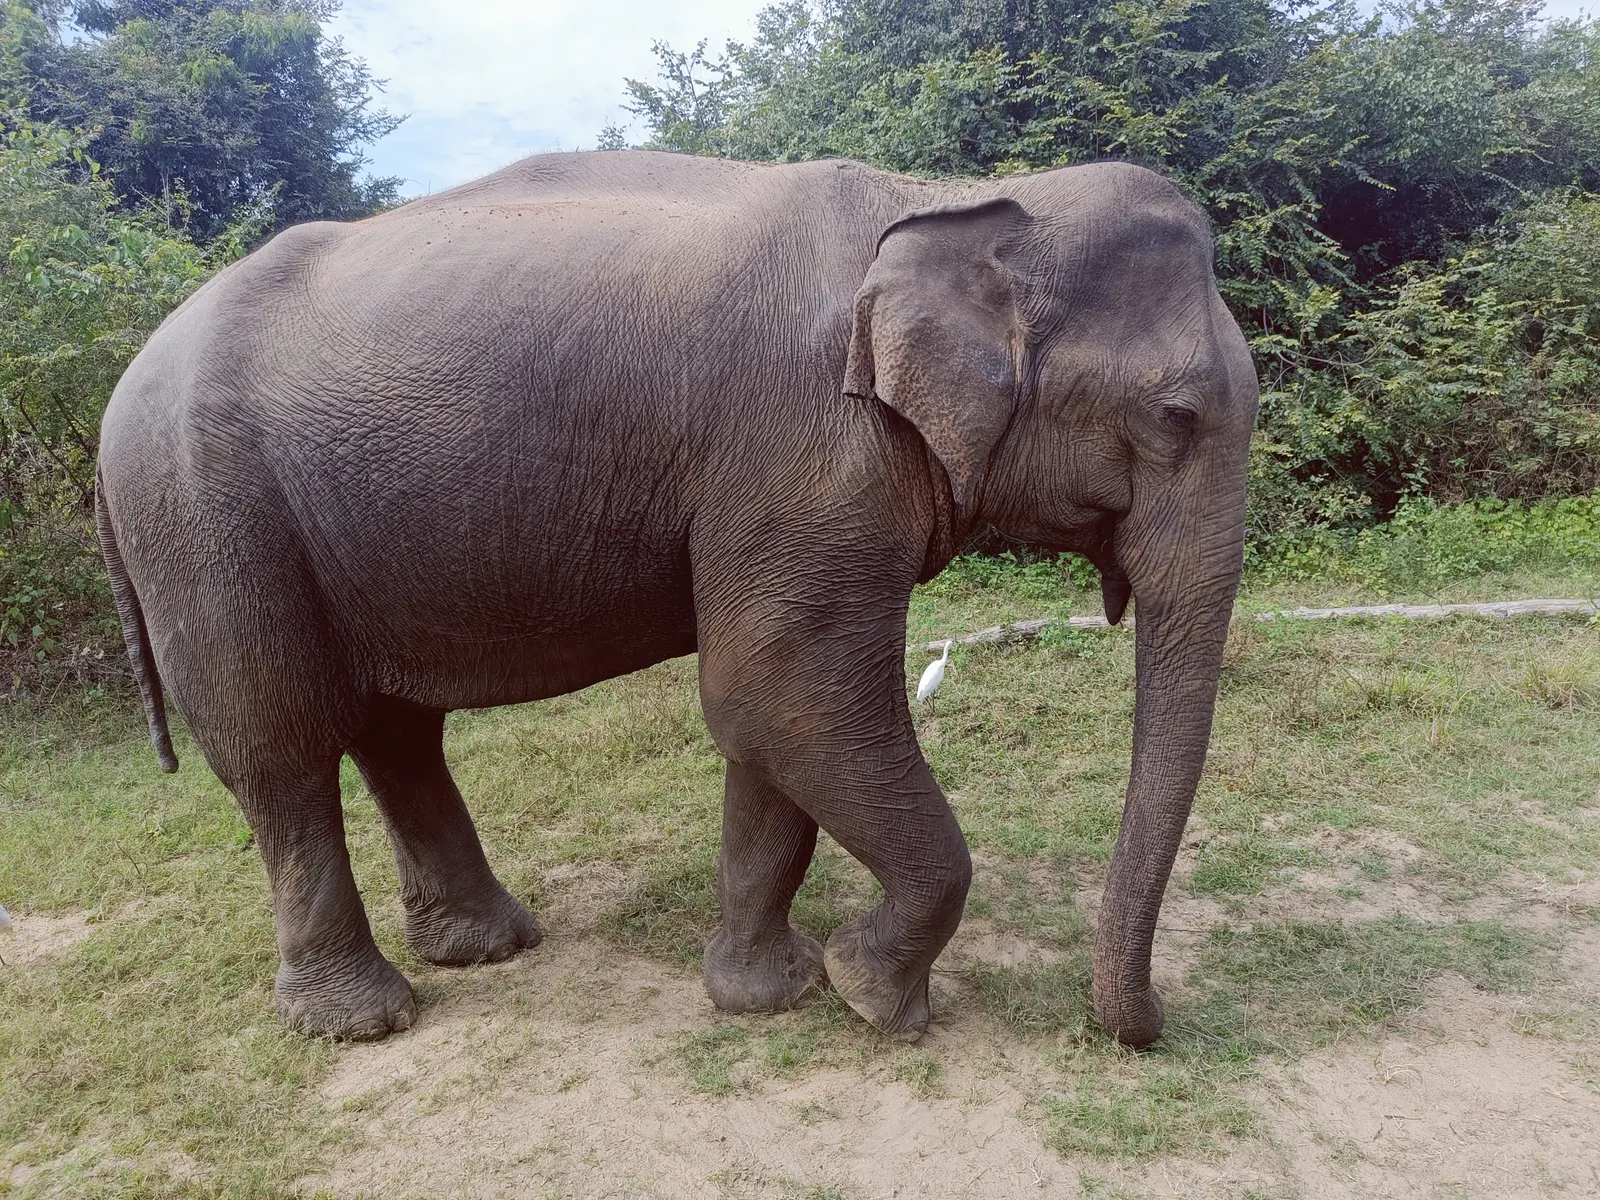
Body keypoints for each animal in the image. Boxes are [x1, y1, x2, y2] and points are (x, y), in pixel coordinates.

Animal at [95, 150, 1256, 1047]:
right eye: (1177, 415)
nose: (1137, 1031)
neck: (961, 198)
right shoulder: (809, 449)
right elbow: (782, 691)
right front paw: (873, 998)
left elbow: (768, 719)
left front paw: (767, 992)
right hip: (206, 518)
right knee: (281, 748)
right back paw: (363, 1021)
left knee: (396, 729)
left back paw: (489, 946)